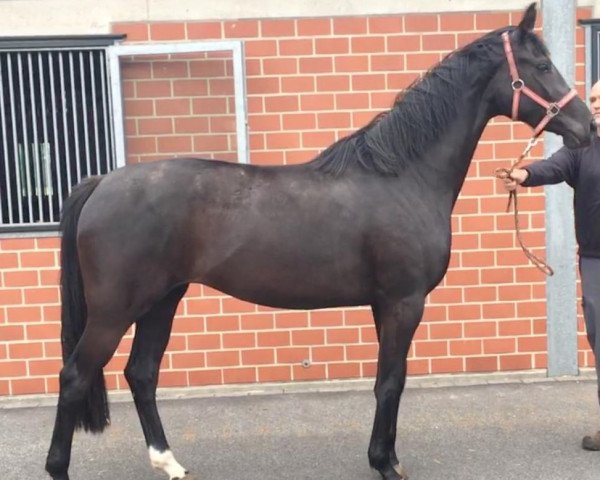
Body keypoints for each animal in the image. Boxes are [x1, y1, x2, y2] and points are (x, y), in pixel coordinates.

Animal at [45, 4, 596, 480]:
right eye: (542, 65)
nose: (588, 127)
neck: (403, 175)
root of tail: (102, 181)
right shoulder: (404, 301)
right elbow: (390, 380)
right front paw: (384, 464)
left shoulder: (384, 303)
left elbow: (390, 381)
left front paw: (388, 457)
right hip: (116, 309)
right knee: (75, 377)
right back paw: (60, 467)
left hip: (162, 298)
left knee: (141, 373)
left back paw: (170, 462)